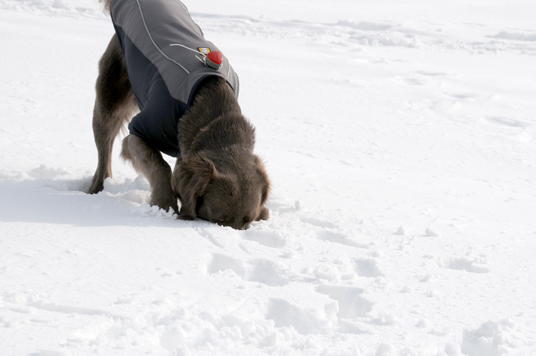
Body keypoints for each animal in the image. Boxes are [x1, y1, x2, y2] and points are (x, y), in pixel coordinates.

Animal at [90, 0, 272, 229]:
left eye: (247, 223)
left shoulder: (185, 147)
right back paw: (96, 189)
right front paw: (165, 205)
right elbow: (160, 166)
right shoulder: (141, 131)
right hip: (111, 93)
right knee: (104, 153)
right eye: (219, 220)